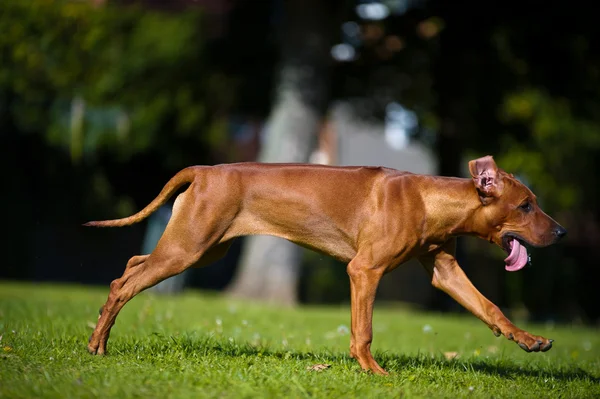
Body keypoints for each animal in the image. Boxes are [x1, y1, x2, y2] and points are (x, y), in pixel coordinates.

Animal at [85, 155, 568, 376]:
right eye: (525, 206)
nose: (562, 233)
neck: (432, 200)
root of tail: (203, 169)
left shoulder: (444, 269)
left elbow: (490, 307)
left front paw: (530, 340)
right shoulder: (364, 271)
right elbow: (364, 330)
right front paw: (372, 371)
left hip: (202, 247)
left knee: (130, 265)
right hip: (189, 247)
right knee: (123, 284)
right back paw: (96, 345)